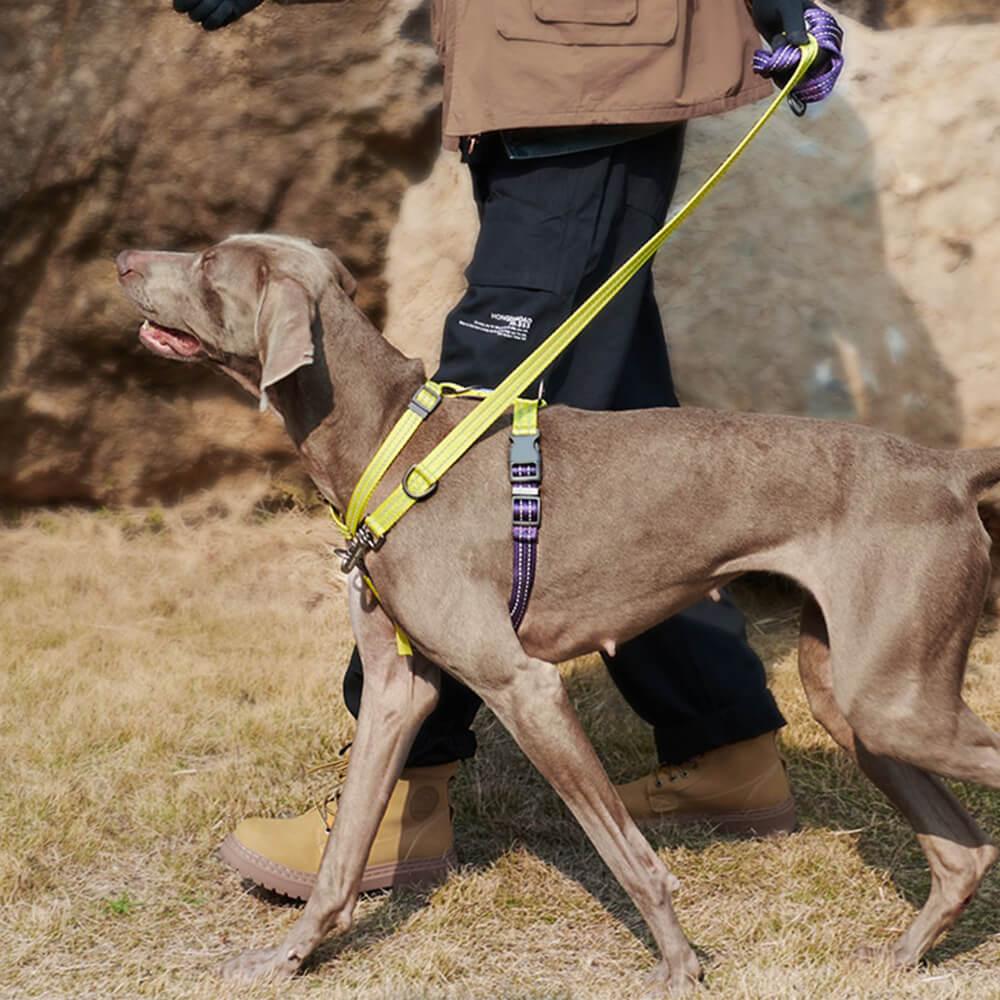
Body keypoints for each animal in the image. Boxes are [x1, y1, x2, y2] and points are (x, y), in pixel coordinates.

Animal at [117, 234, 1000, 992]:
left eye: (208, 261)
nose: (122, 258)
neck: (387, 439)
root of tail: (947, 467)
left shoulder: (524, 685)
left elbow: (630, 858)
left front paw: (680, 968)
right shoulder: (400, 690)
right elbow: (341, 857)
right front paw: (286, 959)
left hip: (894, 701)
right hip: (854, 695)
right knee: (961, 855)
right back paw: (900, 957)